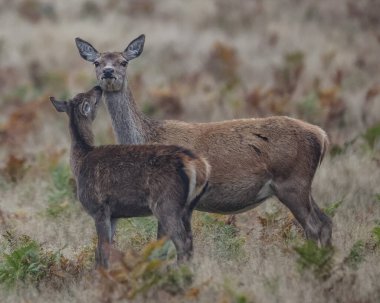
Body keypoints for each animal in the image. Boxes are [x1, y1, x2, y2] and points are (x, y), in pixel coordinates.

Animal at [49, 86, 209, 268]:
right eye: (87, 96)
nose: (98, 87)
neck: (80, 161)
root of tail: (199, 165)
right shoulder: (113, 215)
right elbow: (102, 250)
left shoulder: (99, 208)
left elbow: (102, 250)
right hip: (188, 207)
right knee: (189, 240)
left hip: (166, 204)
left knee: (183, 242)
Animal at [75, 35, 332, 247]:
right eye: (97, 62)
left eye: (123, 62)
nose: (109, 72)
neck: (147, 136)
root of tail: (322, 135)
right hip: (301, 185)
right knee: (326, 221)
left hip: (292, 181)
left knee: (314, 226)